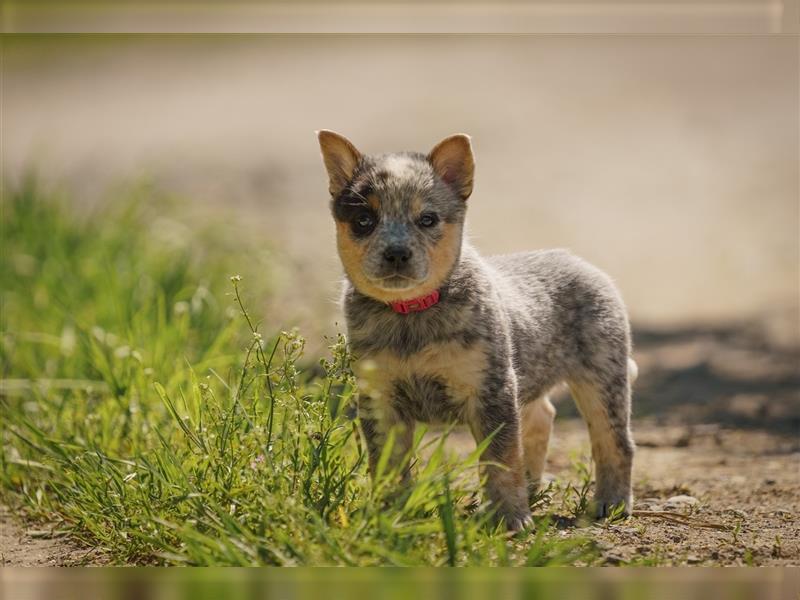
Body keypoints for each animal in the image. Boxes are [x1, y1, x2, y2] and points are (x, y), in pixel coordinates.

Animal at [316, 130, 636, 528]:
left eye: (428, 219)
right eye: (364, 219)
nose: (396, 253)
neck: (411, 315)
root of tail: (583, 264)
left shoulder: (491, 390)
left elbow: (501, 459)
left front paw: (510, 518)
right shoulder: (381, 398)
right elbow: (388, 465)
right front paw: (391, 514)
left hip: (602, 377)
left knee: (615, 441)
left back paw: (613, 502)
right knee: (541, 417)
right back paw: (533, 486)